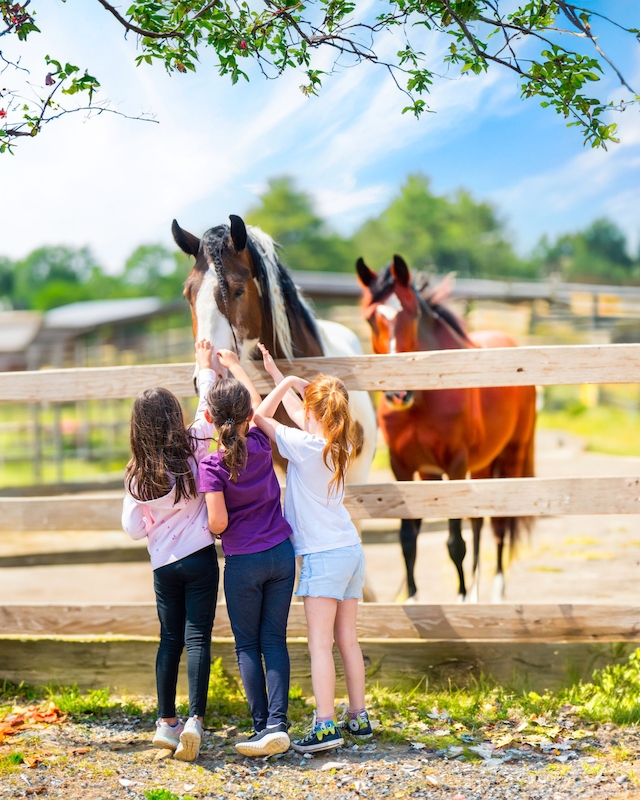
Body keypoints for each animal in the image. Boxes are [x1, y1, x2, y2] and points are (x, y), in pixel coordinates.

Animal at [358, 255, 536, 600]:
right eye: (371, 319)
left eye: (414, 315)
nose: (397, 393)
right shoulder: (404, 468)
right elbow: (408, 539)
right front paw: (414, 600)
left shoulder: (454, 465)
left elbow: (455, 543)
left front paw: (461, 597)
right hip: (478, 466)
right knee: (479, 522)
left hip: (510, 457)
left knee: (500, 526)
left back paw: (495, 594)